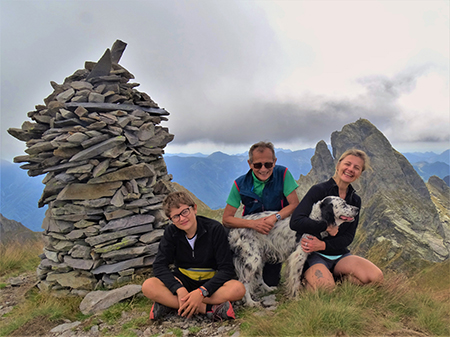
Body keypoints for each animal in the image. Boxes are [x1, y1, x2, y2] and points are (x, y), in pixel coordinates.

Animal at [229, 196, 358, 306]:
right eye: (343, 204)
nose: (357, 209)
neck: (315, 220)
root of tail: (234, 229)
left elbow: (291, 277)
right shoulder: (298, 256)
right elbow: (296, 278)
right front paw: (295, 298)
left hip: (259, 256)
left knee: (258, 276)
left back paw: (268, 288)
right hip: (253, 258)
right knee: (244, 281)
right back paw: (250, 302)